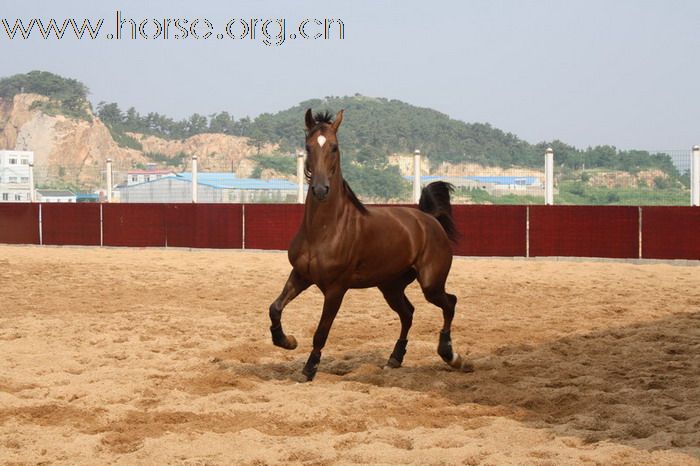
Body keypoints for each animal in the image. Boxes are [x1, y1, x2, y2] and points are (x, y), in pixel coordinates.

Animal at [270, 110, 470, 382]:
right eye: (308, 147)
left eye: (334, 147)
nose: (321, 189)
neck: (324, 230)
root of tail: (429, 220)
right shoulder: (301, 275)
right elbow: (275, 307)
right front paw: (287, 341)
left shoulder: (336, 289)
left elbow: (321, 331)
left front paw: (309, 369)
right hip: (390, 286)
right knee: (408, 313)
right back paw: (395, 358)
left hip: (431, 284)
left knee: (450, 303)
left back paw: (451, 356)